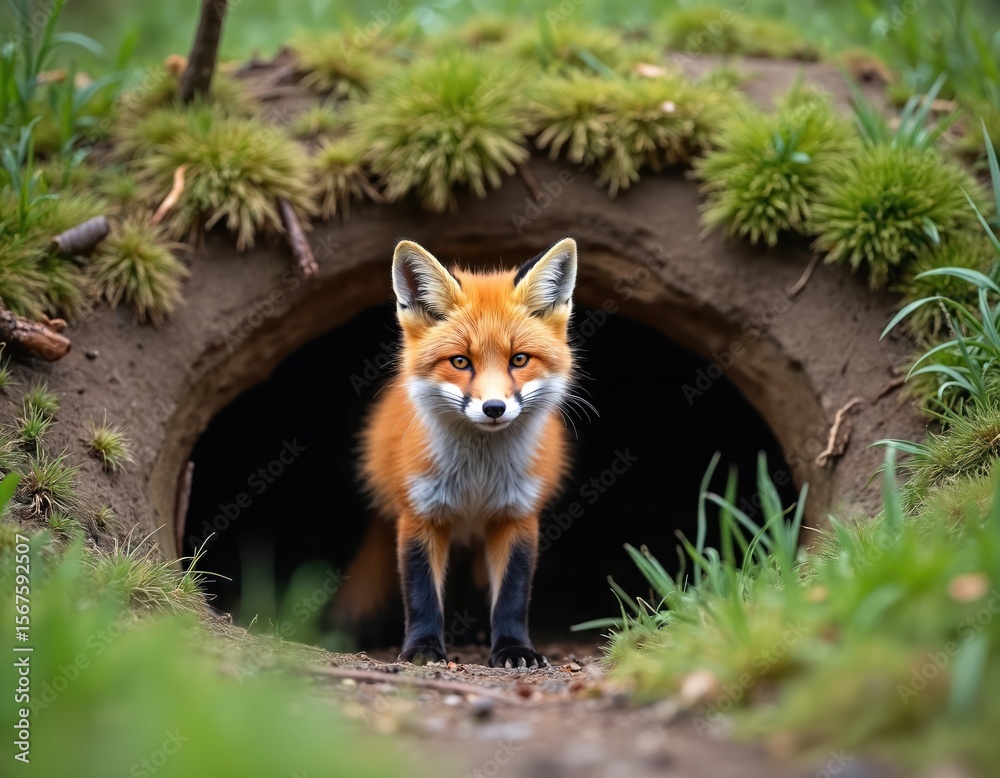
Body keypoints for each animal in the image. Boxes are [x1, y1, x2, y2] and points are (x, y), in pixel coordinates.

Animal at [337, 237, 580, 668]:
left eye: (519, 359)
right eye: (461, 361)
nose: (494, 408)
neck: (476, 481)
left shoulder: (517, 516)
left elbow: (513, 597)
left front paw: (513, 649)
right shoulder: (419, 515)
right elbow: (421, 596)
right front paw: (422, 649)